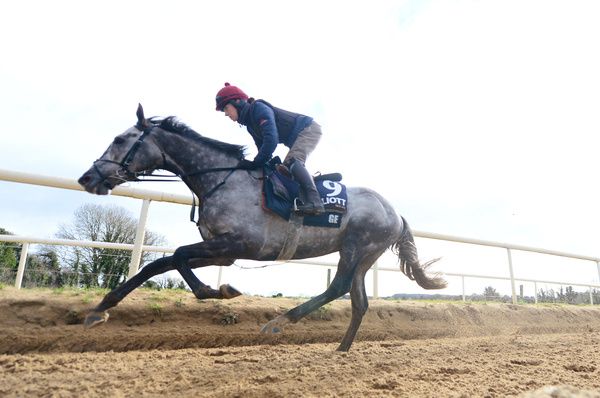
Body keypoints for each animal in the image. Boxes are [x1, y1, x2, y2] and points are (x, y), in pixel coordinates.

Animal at [77, 103, 446, 352]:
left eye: (120, 139)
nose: (87, 178)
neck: (221, 179)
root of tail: (395, 214)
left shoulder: (239, 244)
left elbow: (178, 256)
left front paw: (216, 291)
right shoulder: (222, 250)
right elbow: (160, 264)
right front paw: (99, 310)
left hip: (358, 247)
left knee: (338, 286)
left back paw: (279, 322)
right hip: (363, 255)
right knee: (359, 301)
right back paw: (341, 349)